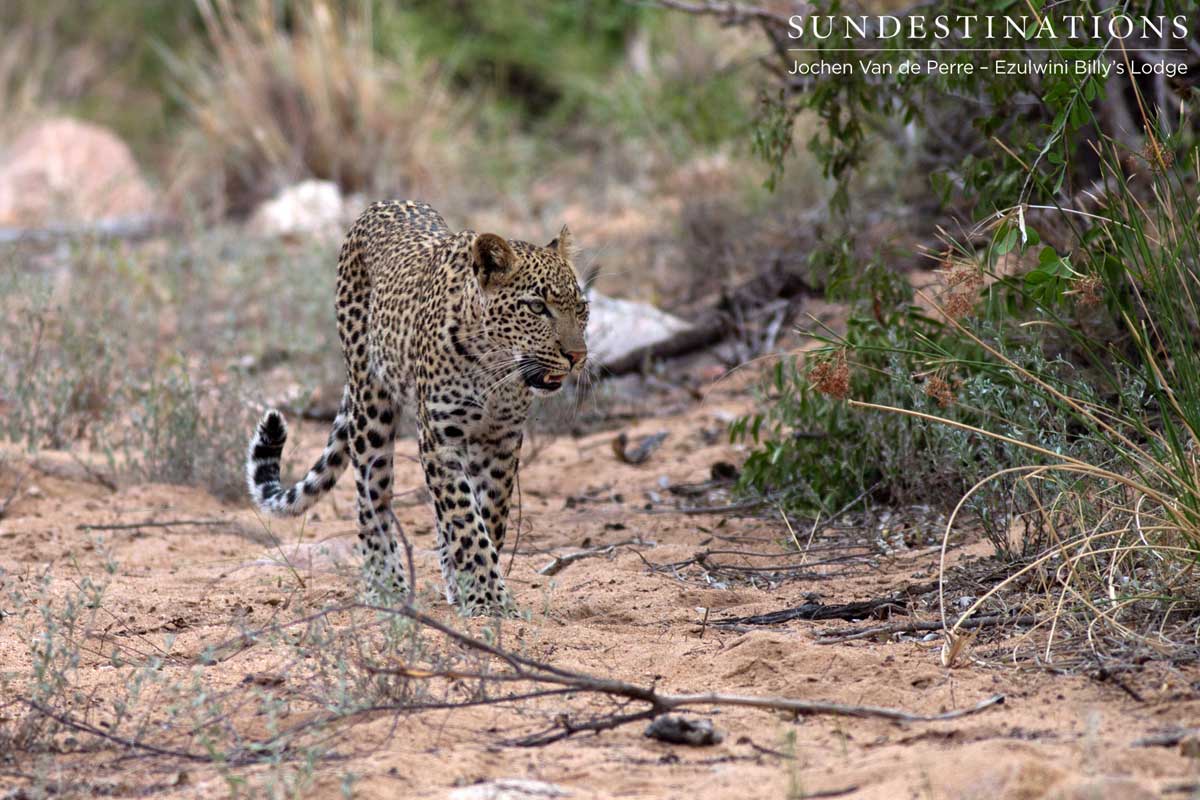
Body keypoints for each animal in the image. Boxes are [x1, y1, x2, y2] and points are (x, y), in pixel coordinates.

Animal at [241, 200, 588, 614]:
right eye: (536, 307)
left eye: (581, 308)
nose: (578, 356)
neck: (495, 368)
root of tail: (381, 205)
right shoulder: (439, 438)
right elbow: (465, 519)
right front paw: (488, 597)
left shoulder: (501, 440)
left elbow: (489, 516)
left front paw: (469, 586)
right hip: (370, 404)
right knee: (371, 499)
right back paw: (385, 583)